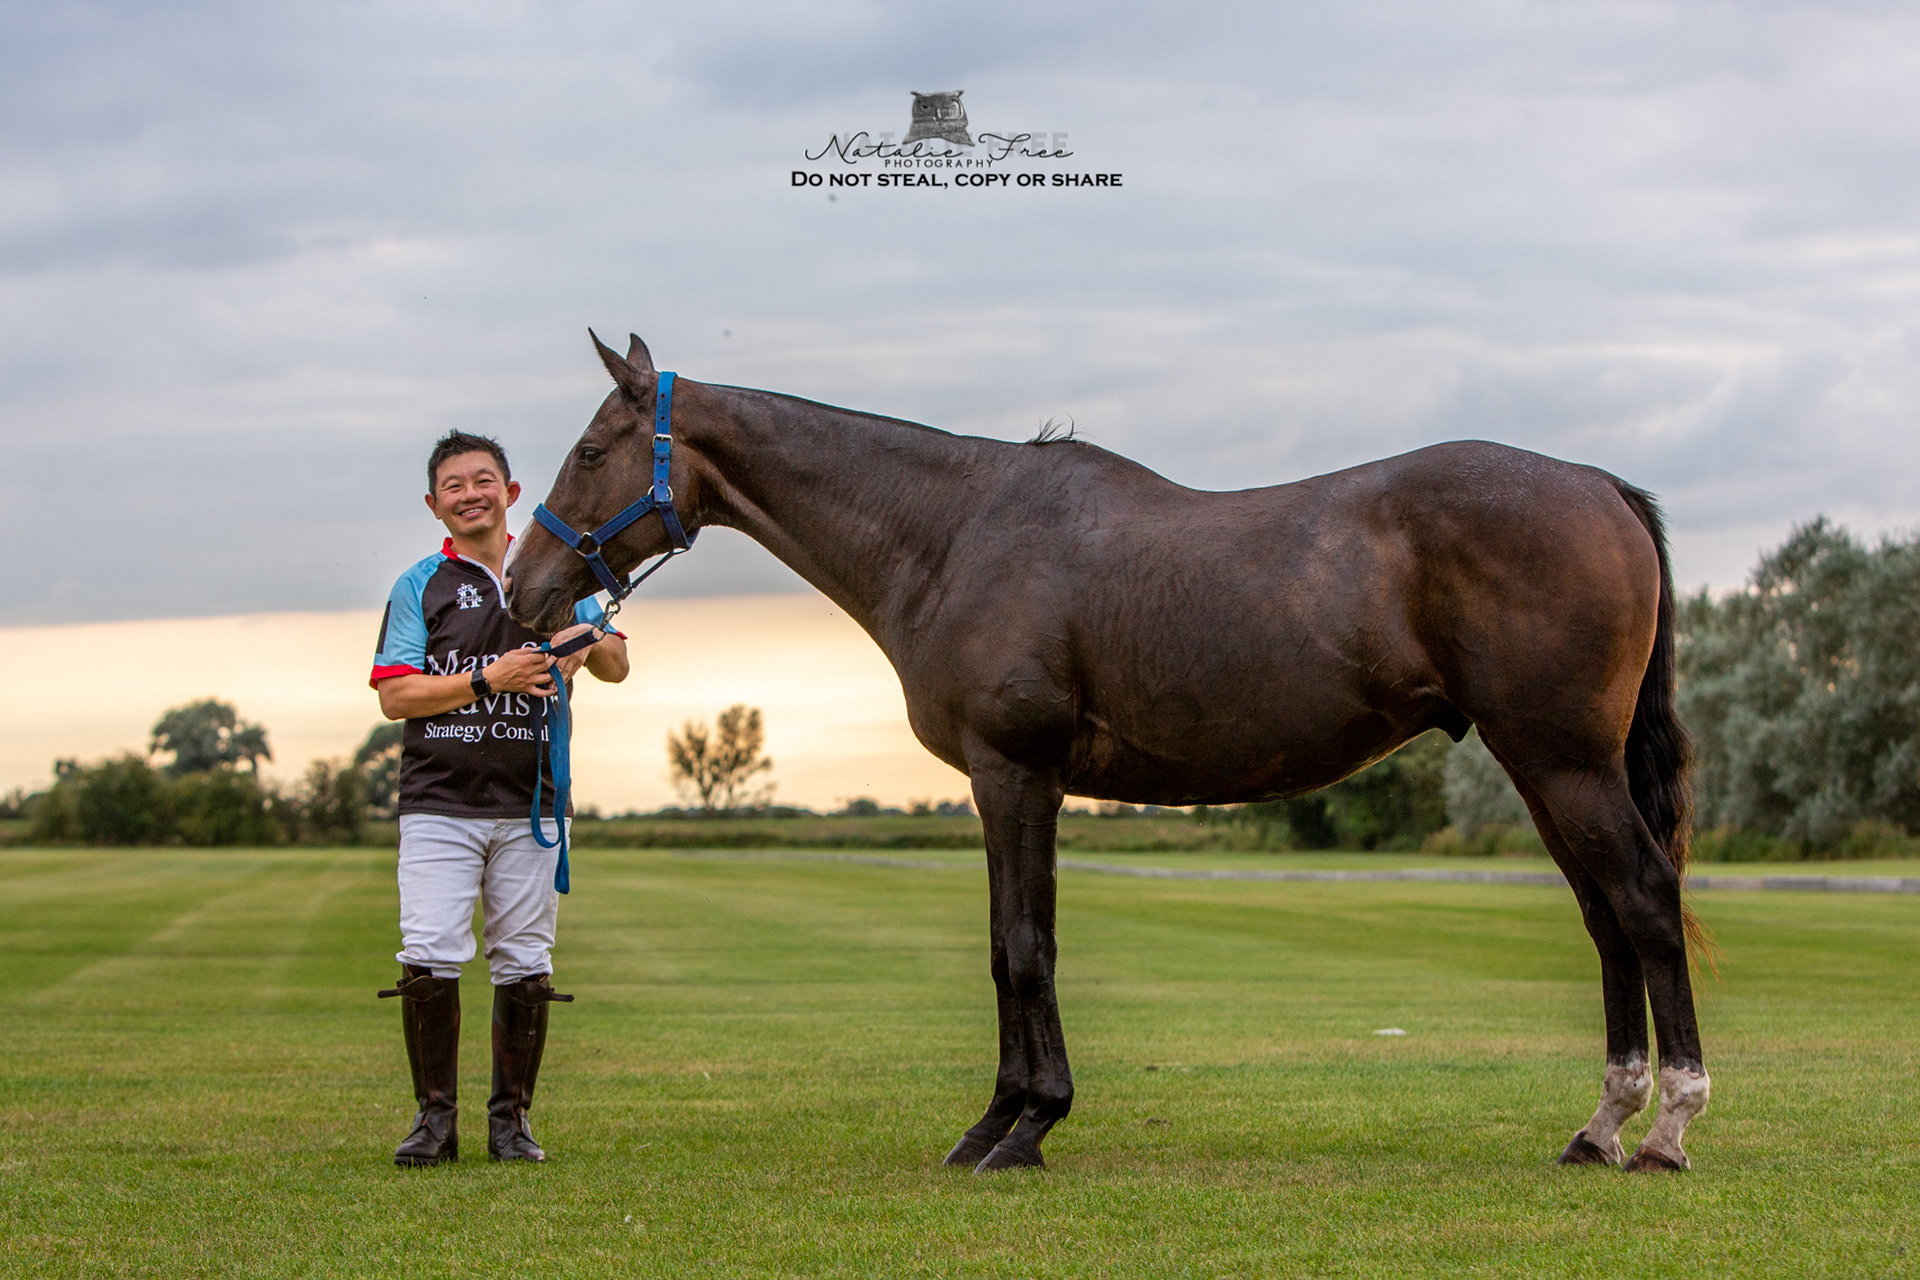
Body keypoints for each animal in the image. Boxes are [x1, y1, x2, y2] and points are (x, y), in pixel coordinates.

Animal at [506, 332, 1710, 1174]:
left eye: (589, 451)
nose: (523, 591)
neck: (955, 532)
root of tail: (1595, 483)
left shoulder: (1017, 774)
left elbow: (1026, 947)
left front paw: (1028, 1126)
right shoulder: (1003, 786)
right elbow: (1008, 949)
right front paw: (995, 1121)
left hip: (1562, 762)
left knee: (1645, 902)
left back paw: (1667, 1129)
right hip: (1549, 768)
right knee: (1608, 919)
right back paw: (1601, 1127)